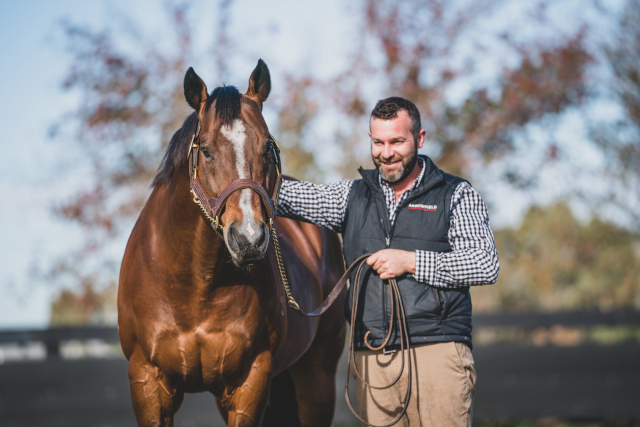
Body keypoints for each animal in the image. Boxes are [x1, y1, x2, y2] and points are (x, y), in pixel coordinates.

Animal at [115, 60, 344, 427]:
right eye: (206, 150)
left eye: (267, 147)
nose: (248, 238)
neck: (193, 289)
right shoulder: (147, 380)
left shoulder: (249, 381)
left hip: (317, 378)